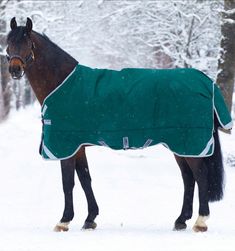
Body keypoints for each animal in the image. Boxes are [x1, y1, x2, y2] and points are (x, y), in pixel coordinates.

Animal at [5, 17, 231, 232]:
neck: (62, 82)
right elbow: (85, 179)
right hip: (181, 146)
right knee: (188, 179)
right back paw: (181, 220)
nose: (14, 70)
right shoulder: (78, 147)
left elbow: (68, 183)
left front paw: (64, 221)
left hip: (189, 143)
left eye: (28, 44)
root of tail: (205, 81)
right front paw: (90, 218)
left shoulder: (66, 146)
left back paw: (200, 221)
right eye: (8, 44)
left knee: (200, 177)